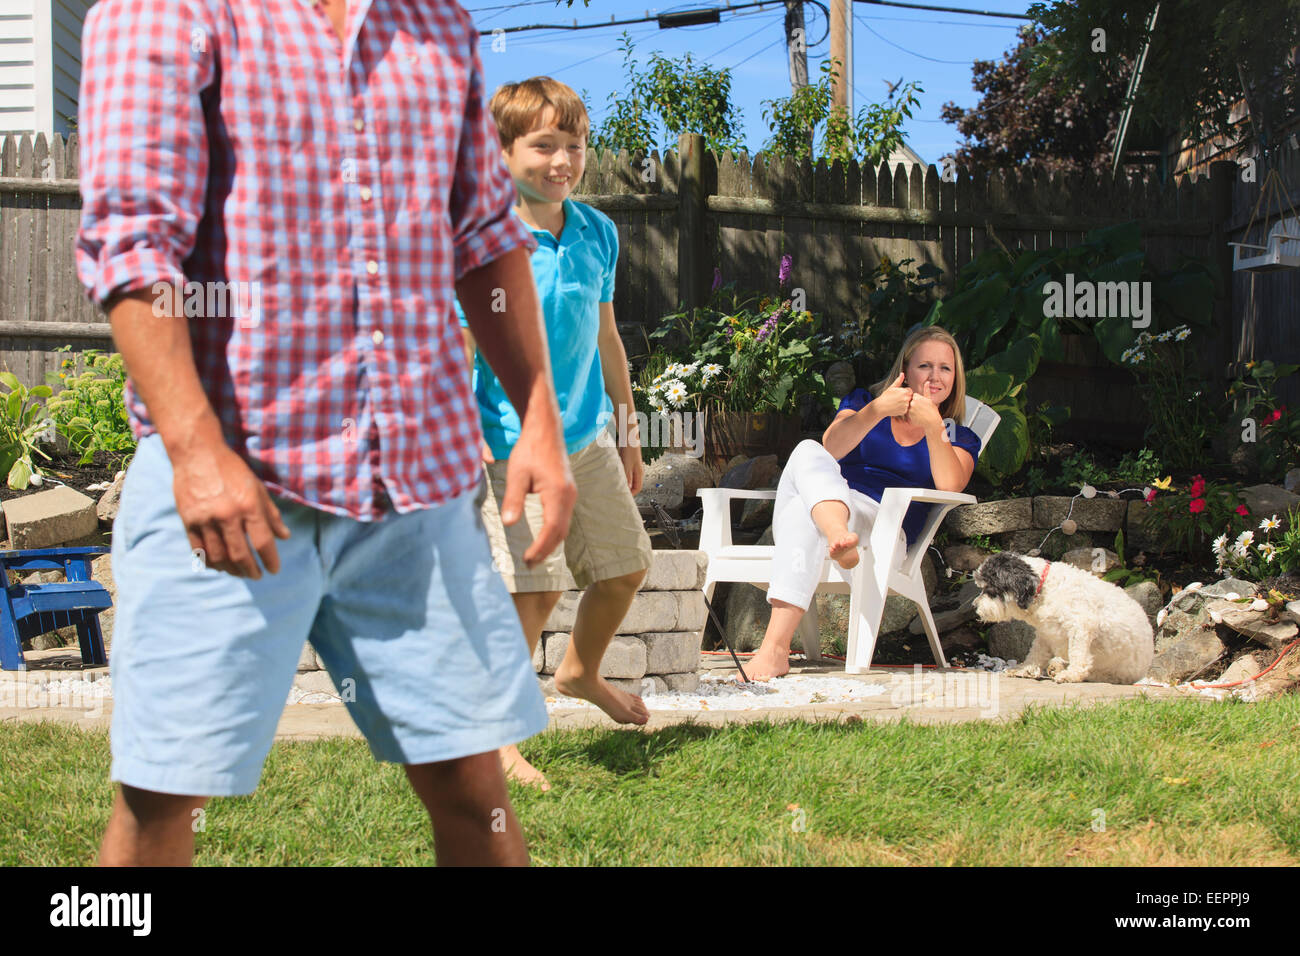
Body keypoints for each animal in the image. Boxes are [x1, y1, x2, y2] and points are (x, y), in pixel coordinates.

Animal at [972, 548, 1154, 686]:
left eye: (990, 589)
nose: (974, 606)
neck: (1044, 589)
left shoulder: (1082, 626)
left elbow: (1078, 654)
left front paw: (1071, 675)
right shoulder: (1045, 633)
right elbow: (1036, 653)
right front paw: (1025, 669)